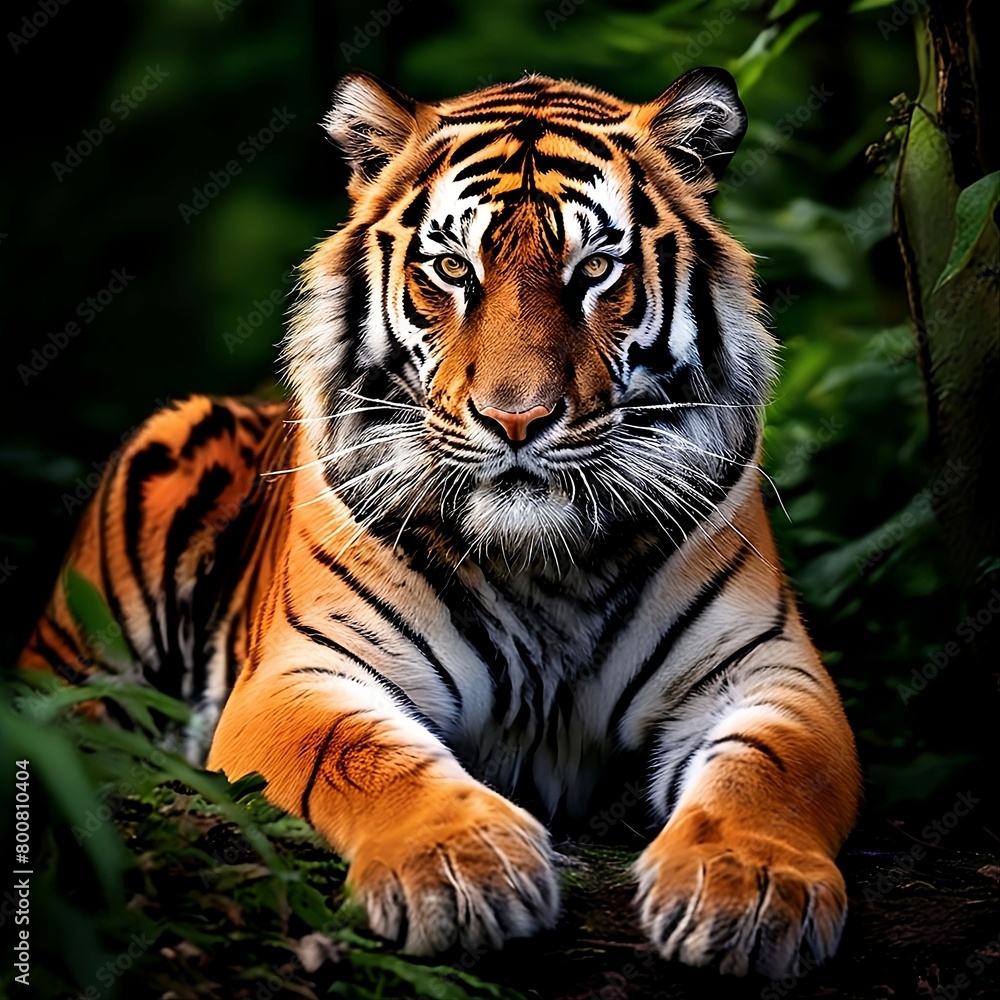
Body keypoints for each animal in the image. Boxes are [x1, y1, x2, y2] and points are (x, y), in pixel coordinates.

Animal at [21, 68, 860, 978]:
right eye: (454, 268)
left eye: (597, 269)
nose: (517, 418)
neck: (542, 565)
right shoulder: (307, 671)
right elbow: (364, 756)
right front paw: (459, 872)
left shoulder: (768, 673)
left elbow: (767, 773)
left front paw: (753, 886)